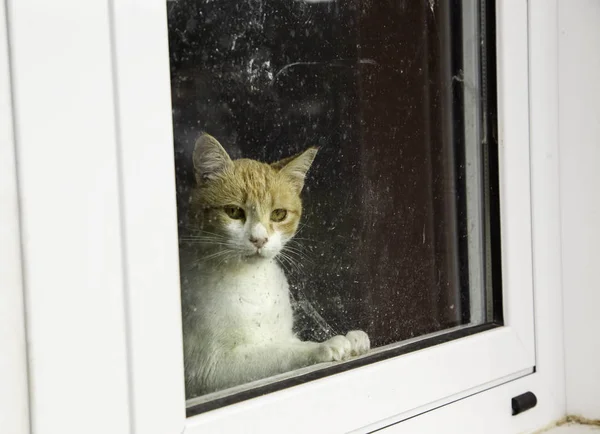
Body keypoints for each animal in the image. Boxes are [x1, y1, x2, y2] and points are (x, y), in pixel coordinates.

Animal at [178, 134, 370, 398]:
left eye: (279, 214)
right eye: (233, 211)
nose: (259, 239)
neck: (252, 282)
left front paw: (354, 340)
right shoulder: (211, 369)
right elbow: (277, 353)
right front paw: (322, 346)